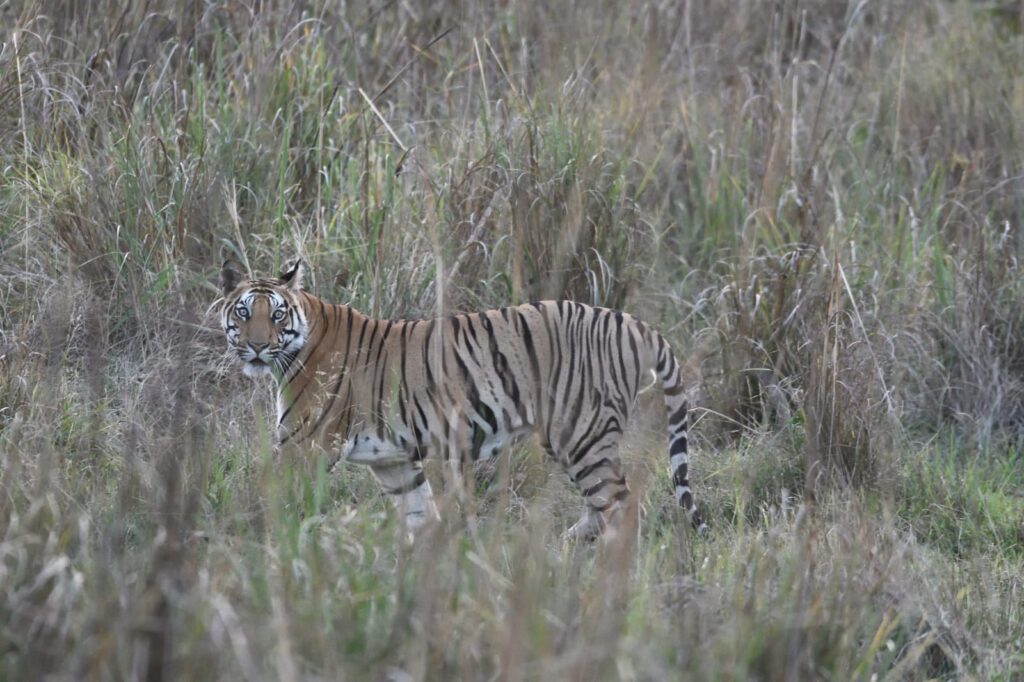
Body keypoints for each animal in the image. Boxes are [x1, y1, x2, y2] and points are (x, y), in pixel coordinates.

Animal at [219, 259, 706, 539]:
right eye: (243, 312)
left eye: (275, 314)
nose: (258, 346)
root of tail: (634, 323)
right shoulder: (394, 461)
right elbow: (420, 516)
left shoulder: (305, 446)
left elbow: (278, 502)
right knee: (603, 506)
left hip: (582, 433)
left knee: (621, 505)